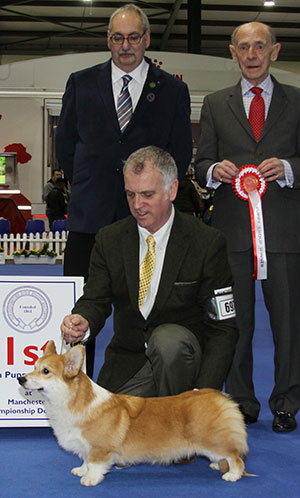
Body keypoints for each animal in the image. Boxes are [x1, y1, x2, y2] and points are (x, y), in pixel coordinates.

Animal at [18, 342, 251, 486]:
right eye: (34, 366)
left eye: (46, 371)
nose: (21, 379)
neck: (71, 400)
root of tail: (218, 395)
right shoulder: (86, 446)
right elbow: (85, 460)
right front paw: (81, 470)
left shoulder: (99, 448)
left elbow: (95, 464)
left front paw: (90, 479)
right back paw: (216, 464)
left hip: (211, 440)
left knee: (235, 456)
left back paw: (232, 475)